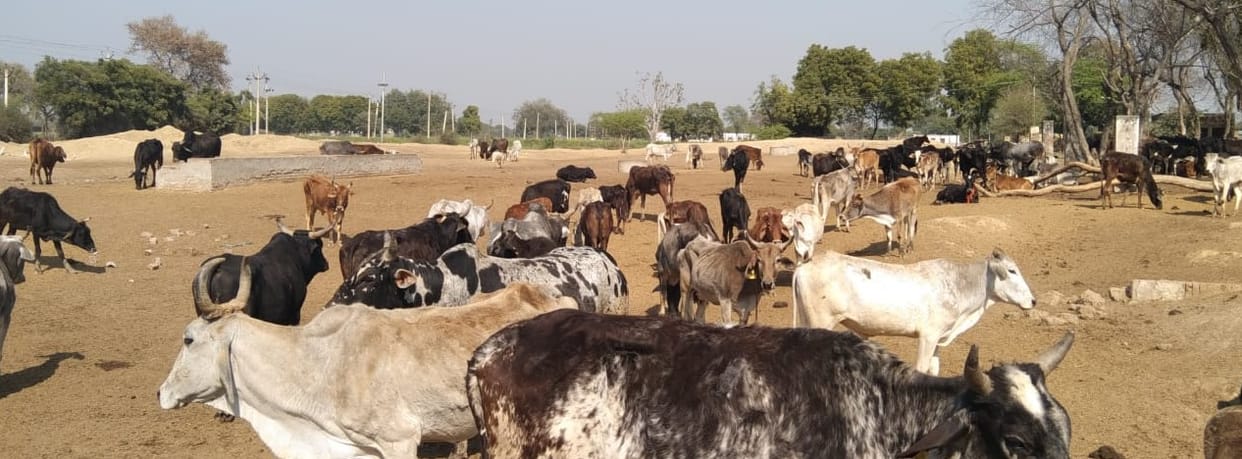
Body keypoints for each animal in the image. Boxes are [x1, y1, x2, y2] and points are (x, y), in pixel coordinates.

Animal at [792, 248, 1037, 375]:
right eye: (1011, 271)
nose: (1033, 301)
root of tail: (805, 265)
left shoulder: (938, 338)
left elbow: (933, 369)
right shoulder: (928, 336)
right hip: (821, 322)